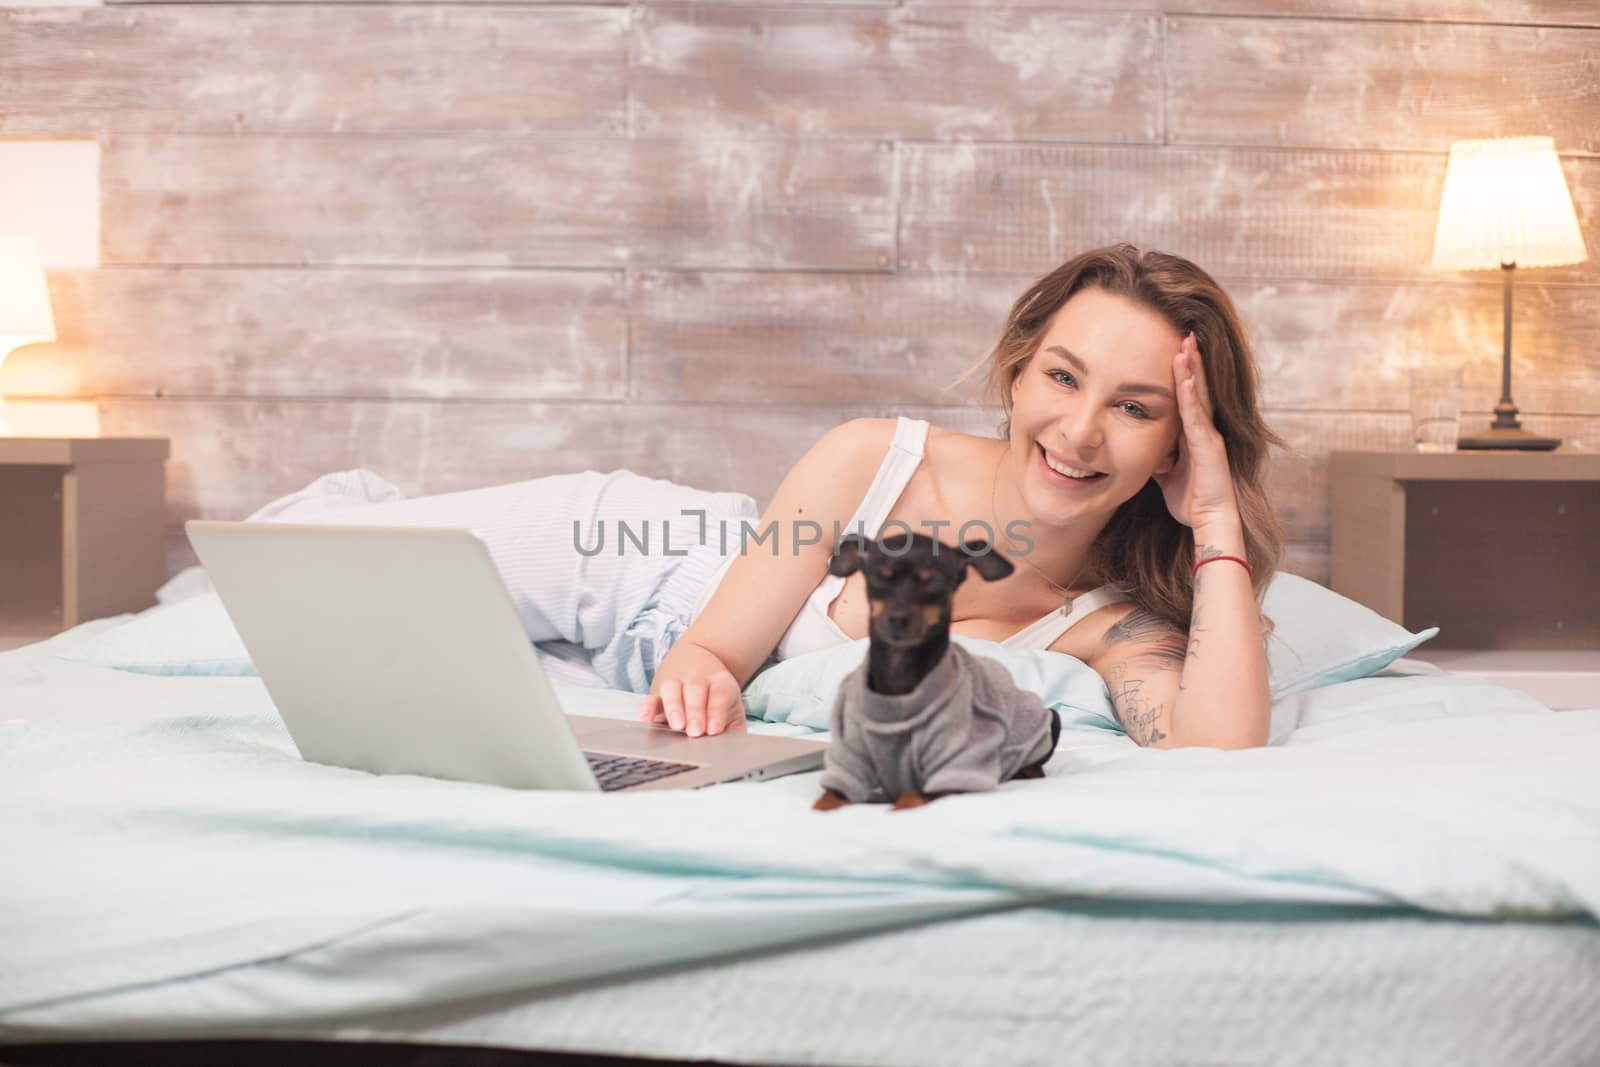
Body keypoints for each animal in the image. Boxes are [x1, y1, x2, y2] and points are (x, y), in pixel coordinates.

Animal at [812, 531, 1062, 812]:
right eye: (879, 579)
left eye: (933, 585)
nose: (898, 619)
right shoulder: (851, 755)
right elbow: (830, 796)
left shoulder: (956, 765)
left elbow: (912, 797)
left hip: (1049, 721)